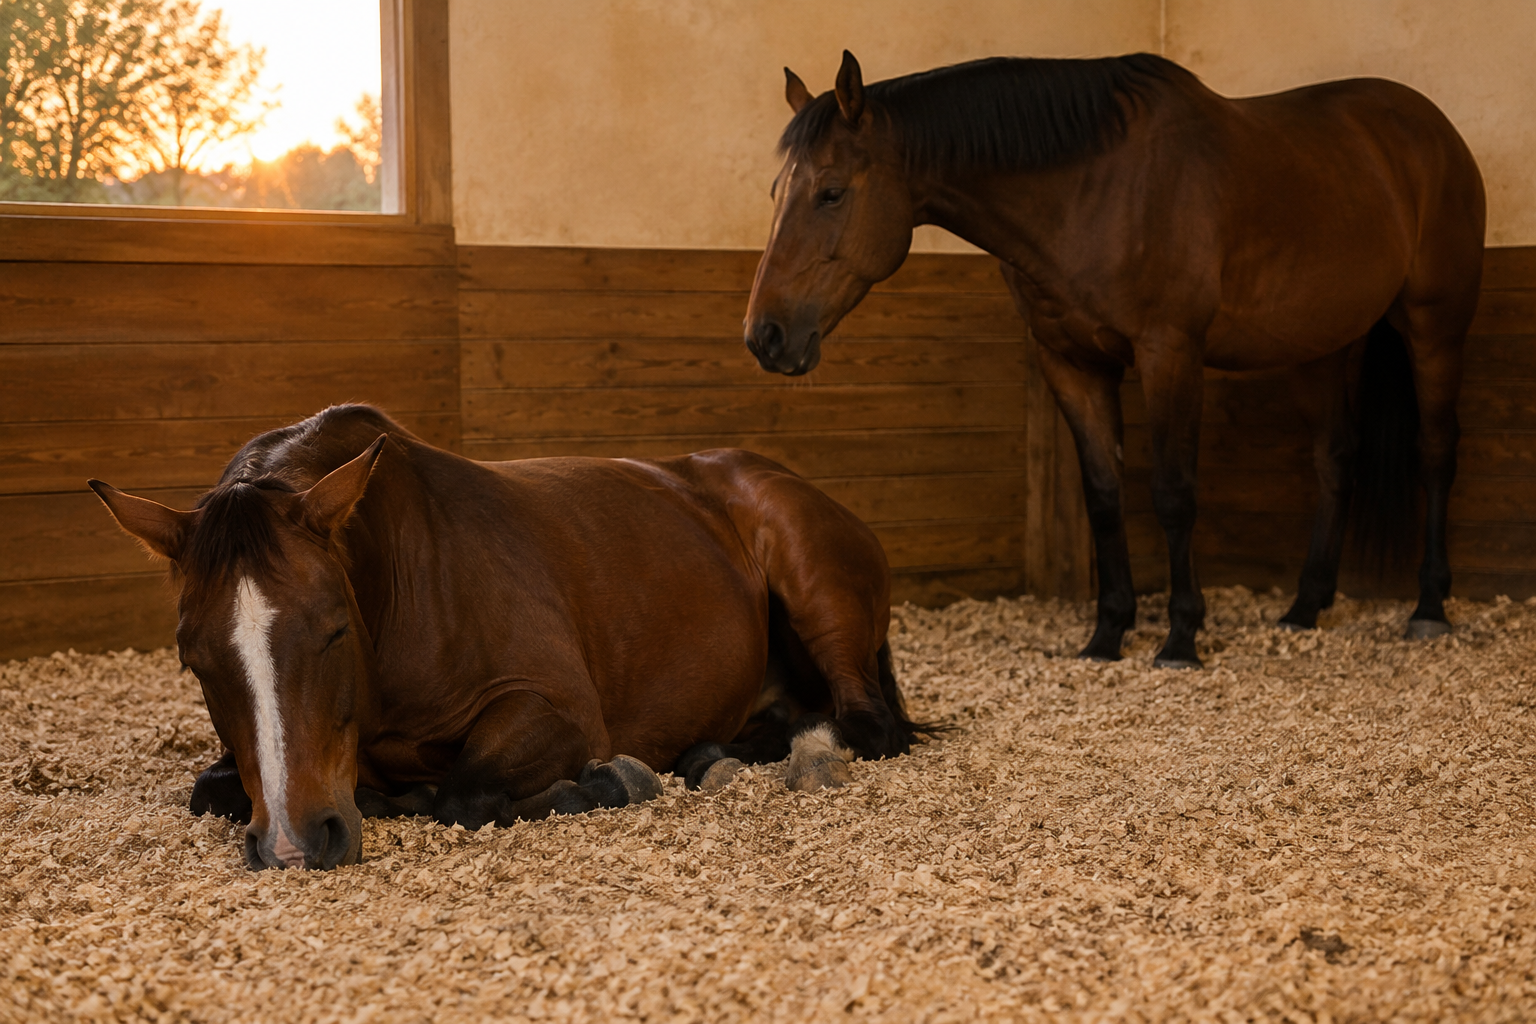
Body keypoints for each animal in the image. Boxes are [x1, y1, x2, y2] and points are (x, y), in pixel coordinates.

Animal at [90, 405, 923, 870]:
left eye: (332, 629)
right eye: (193, 662)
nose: (296, 844)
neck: (403, 581)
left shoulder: (554, 710)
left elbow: (465, 792)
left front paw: (604, 782)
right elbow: (210, 791)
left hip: (817, 592)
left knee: (863, 724)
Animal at [745, 51, 1485, 668]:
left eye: (832, 191)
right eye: (775, 192)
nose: (764, 336)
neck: (1093, 189)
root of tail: (1435, 131)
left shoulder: (1170, 354)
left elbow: (1173, 494)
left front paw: (1180, 638)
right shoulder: (1072, 363)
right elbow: (1102, 496)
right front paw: (1107, 635)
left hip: (1435, 326)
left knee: (1436, 452)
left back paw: (1428, 608)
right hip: (1325, 346)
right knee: (1336, 459)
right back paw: (1305, 607)